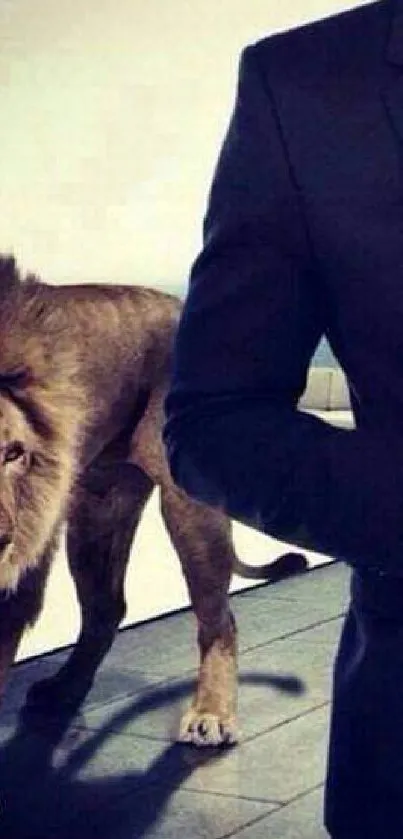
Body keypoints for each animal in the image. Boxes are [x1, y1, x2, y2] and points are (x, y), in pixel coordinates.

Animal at [0, 256, 308, 748]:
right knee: (106, 610)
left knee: (218, 618)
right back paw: (64, 688)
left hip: (187, 510)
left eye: (14, 453)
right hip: (96, 514)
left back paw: (211, 714)